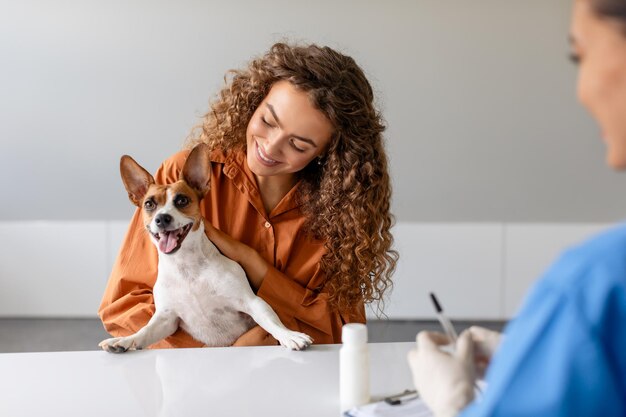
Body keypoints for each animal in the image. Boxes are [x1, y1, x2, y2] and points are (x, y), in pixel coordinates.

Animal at [100, 144, 312, 352]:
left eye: (182, 200)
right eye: (149, 204)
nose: (162, 218)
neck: (187, 267)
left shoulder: (252, 303)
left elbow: (271, 322)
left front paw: (289, 335)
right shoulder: (167, 319)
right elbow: (145, 331)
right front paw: (125, 340)